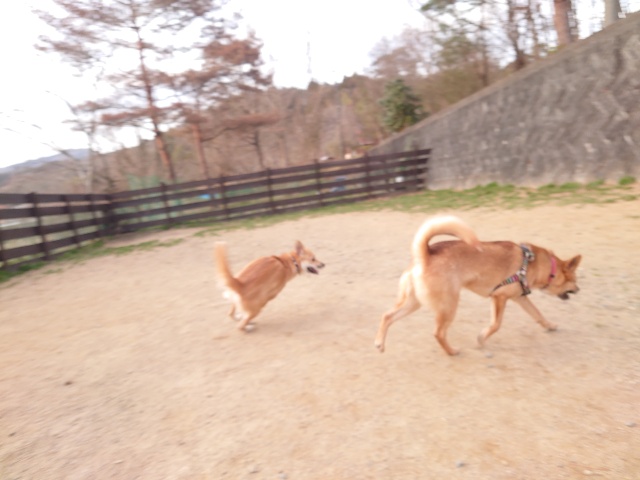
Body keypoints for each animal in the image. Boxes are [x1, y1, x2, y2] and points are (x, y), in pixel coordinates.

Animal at [374, 215, 582, 355]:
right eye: (574, 280)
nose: (579, 290)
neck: (534, 264)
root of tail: (424, 256)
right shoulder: (499, 297)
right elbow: (495, 325)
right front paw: (481, 339)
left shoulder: (519, 298)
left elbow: (538, 314)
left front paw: (550, 326)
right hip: (448, 306)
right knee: (438, 333)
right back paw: (452, 352)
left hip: (414, 302)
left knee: (387, 316)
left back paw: (380, 343)